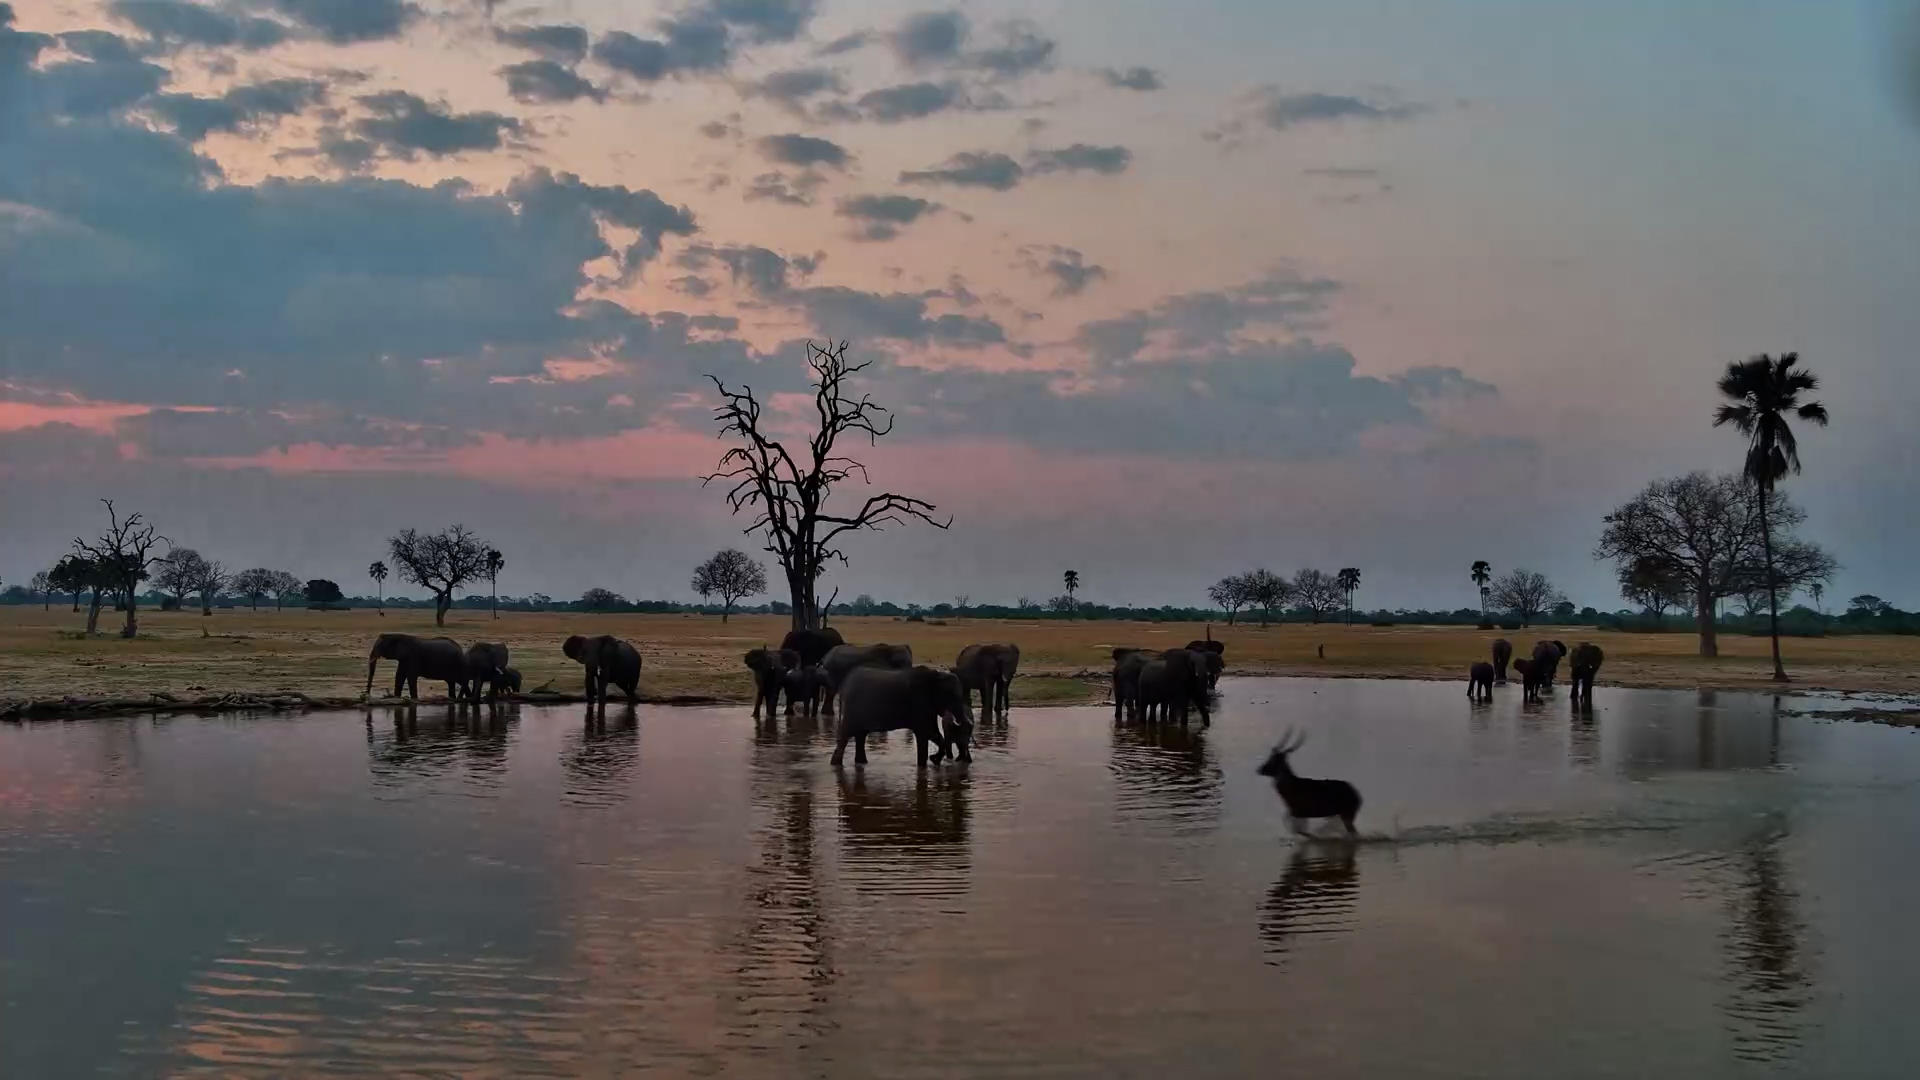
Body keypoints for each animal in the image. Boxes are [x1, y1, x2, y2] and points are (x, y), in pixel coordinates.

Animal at [830, 664, 973, 767]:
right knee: (846, 735)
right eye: (953, 697)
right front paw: (924, 765)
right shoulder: (920, 703)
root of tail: (844, 687)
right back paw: (836, 764)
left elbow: (933, 734)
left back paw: (862, 763)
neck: (937, 676)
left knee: (860, 736)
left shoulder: (929, 708)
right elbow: (924, 734)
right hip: (853, 710)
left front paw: (934, 760)